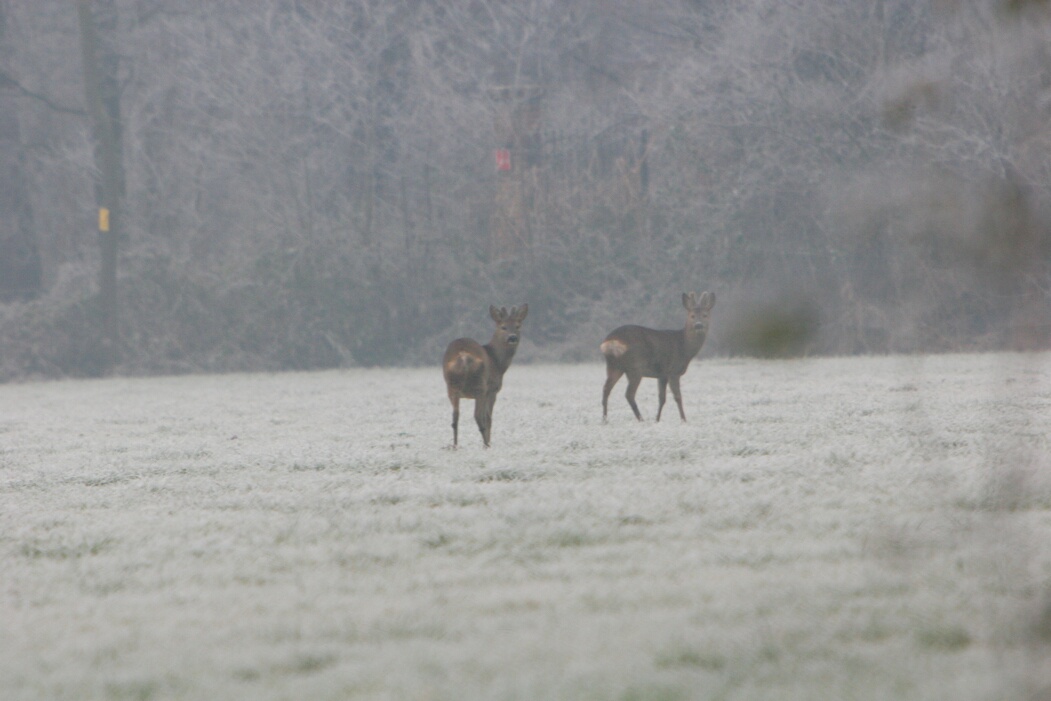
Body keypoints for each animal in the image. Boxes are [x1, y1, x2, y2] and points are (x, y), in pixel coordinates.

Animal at [441, 302, 529, 447]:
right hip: (480, 386)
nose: (512, 337)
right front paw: (488, 441)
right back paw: (486, 445)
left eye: (518, 326)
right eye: (503, 327)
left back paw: (455, 446)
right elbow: (488, 417)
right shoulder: (493, 389)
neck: (497, 362)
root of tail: (463, 357)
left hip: (451, 386)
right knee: (478, 416)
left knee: (455, 417)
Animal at [601, 290, 714, 422]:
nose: (698, 325)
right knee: (629, 394)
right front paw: (684, 419)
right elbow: (677, 397)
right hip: (635, 366)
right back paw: (641, 419)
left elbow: (662, 398)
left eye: (705, 315)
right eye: (692, 316)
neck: (684, 347)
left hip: (614, 366)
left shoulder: (662, 375)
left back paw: (605, 419)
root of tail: (611, 341)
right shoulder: (673, 371)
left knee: (606, 389)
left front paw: (657, 419)